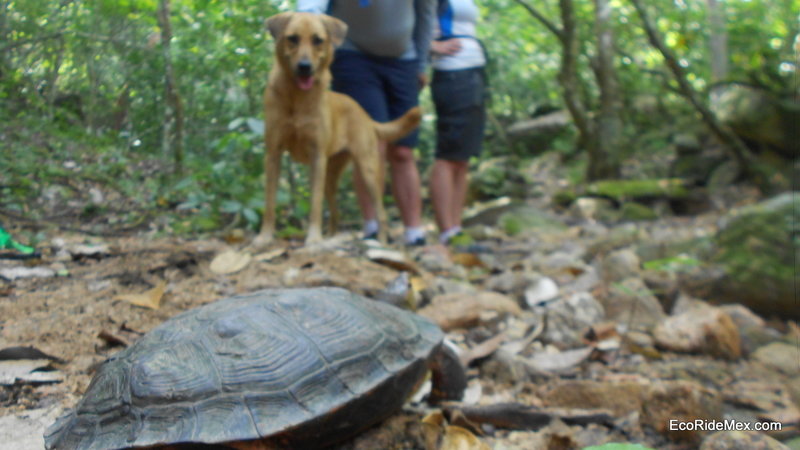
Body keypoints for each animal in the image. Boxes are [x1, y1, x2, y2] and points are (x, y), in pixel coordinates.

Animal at [258, 12, 422, 246]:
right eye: (293, 38)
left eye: (317, 40)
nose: (305, 66)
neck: (297, 98)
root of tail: (365, 114)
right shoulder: (273, 154)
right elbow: (270, 201)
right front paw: (265, 236)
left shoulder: (317, 156)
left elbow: (315, 204)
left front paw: (313, 239)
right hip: (331, 175)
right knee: (335, 213)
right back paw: (332, 237)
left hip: (367, 169)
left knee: (380, 212)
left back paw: (380, 242)